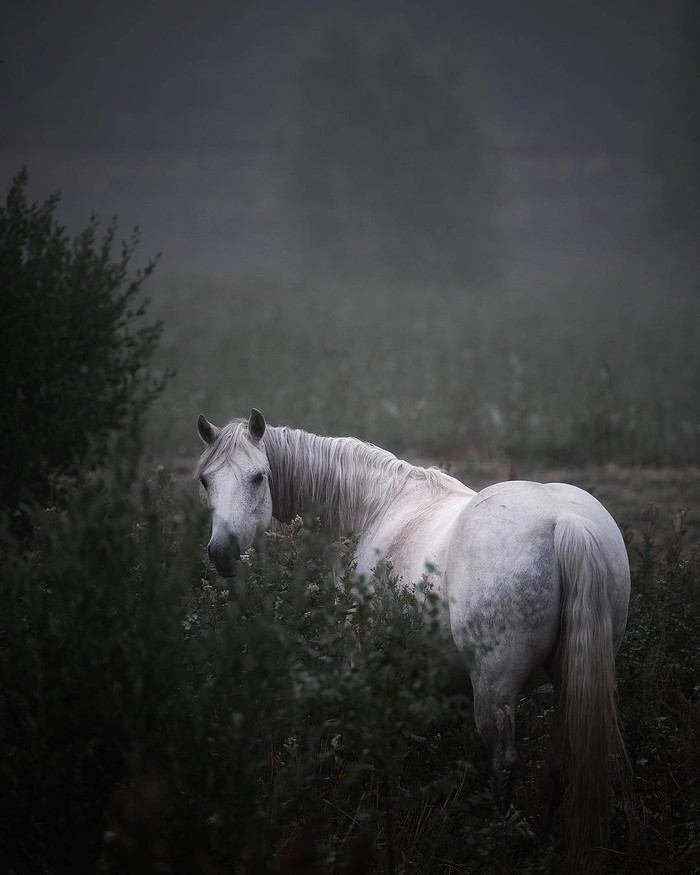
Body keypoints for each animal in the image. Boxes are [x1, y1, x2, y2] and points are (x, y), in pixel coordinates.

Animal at [196, 408, 628, 864]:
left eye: (258, 476)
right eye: (206, 480)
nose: (222, 553)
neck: (376, 506)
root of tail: (566, 521)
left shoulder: (362, 655)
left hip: (495, 687)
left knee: (505, 761)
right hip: (568, 679)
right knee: (561, 761)